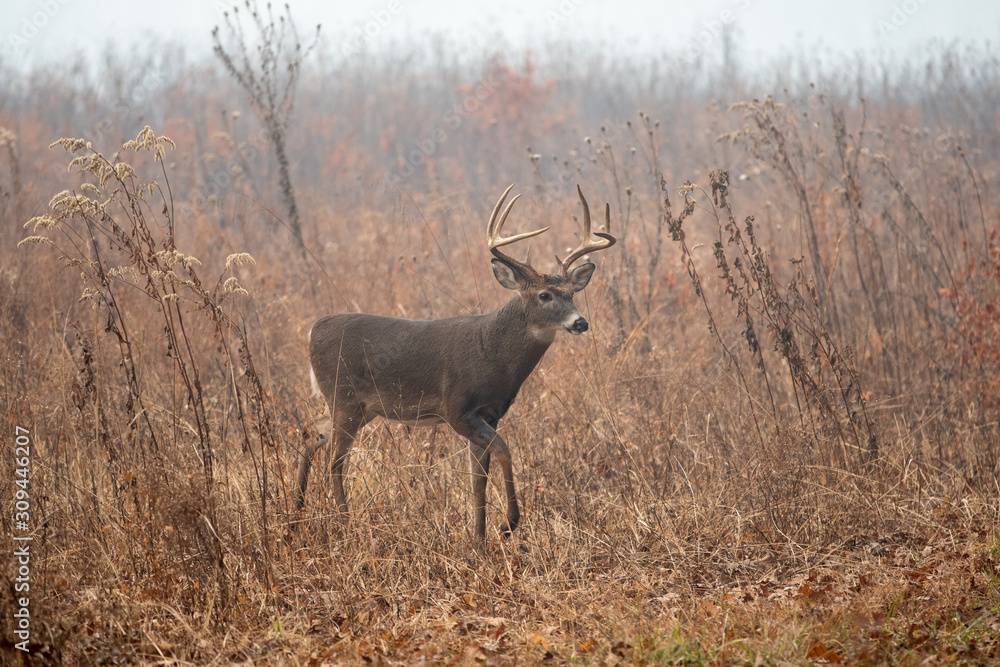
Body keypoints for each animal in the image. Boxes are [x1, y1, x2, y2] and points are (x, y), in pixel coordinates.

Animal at [295, 184, 616, 543]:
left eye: (572, 294)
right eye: (544, 295)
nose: (580, 322)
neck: (491, 352)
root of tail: (313, 330)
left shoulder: (490, 414)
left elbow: (478, 479)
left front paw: (479, 540)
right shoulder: (456, 409)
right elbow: (504, 451)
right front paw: (507, 524)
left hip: (358, 407)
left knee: (309, 432)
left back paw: (297, 513)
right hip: (344, 398)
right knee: (335, 461)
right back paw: (345, 523)